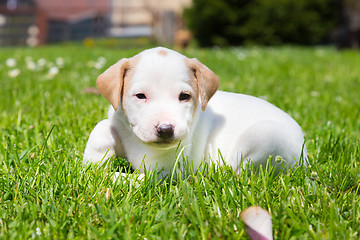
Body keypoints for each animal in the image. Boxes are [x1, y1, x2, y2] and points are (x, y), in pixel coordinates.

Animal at [83, 47, 308, 175]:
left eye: (184, 96)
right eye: (140, 96)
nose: (166, 129)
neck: (137, 141)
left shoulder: (164, 171)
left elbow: (133, 180)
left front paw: (108, 177)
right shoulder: (117, 120)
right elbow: (101, 127)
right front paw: (94, 161)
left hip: (265, 136)